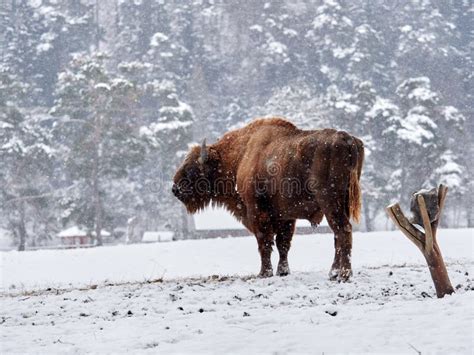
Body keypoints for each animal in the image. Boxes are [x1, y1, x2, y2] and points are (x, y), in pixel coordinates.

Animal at [172, 118, 364, 282]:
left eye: (192, 168)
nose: (175, 189)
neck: (240, 156)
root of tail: (347, 139)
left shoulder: (256, 212)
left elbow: (264, 241)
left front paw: (264, 273)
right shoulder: (285, 216)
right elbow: (282, 243)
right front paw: (282, 271)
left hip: (330, 203)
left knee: (343, 230)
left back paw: (343, 275)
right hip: (342, 204)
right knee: (337, 235)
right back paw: (333, 273)